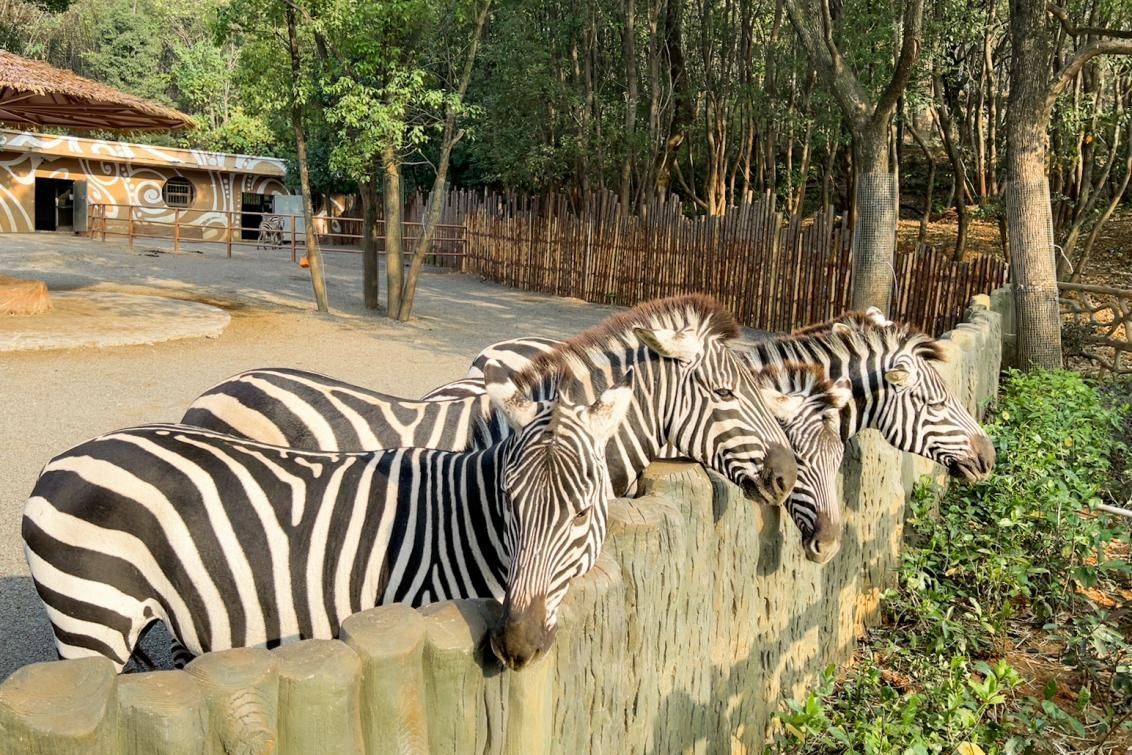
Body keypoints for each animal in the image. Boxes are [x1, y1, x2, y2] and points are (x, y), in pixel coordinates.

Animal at [22, 366, 638, 674]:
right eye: (508, 502)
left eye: (583, 510)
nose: (515, 646)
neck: (463, 525)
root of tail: (57, 462)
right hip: (89, 624)